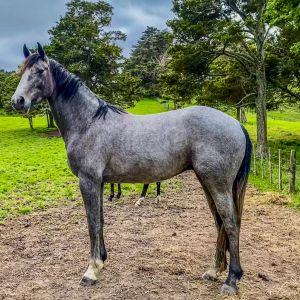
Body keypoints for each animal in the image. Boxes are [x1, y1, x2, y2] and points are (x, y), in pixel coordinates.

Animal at [11, 43, 251, 294]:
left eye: (40, 71)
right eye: (22, 71)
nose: (18, 101)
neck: (88, 123)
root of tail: (236, 124)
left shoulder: (88, 181)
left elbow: (92, 223)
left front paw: (91, 270)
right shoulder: (99, 183)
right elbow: (100, 221)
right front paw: (102, 261)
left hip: (218, 184)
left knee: (231, 223)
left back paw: (231, 280)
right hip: (207, 183)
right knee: (220, 222)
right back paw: (214, 271)